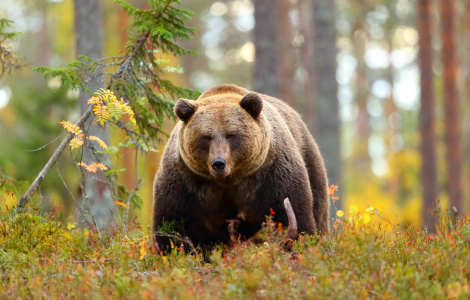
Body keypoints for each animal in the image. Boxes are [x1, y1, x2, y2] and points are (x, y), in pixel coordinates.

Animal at [152, 84, 328, 251]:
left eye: (231, 135)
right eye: (206, 137)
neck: (228, 180)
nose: (218, 163)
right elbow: (170, 222)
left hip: (311, 162)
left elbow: (292, 214)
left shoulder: (273, 174)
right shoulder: (185, 180)